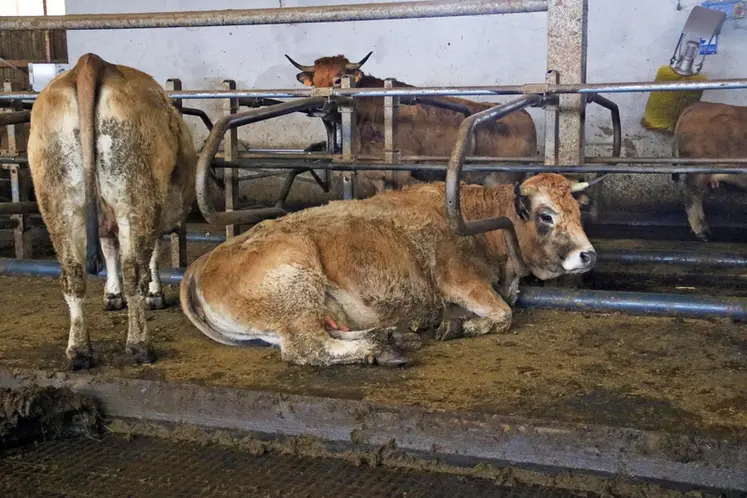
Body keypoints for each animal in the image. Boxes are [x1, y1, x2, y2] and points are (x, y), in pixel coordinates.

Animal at [27, 53, 197, 370]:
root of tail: (92, 62)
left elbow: (109, 250)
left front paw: (111, 294)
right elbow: (150, 255)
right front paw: (155, 295)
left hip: (57, 201)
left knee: (72, 274)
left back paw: (79, 351)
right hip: (136, 195)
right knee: (134, 271)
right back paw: (139, 345)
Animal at [180, 173, 596, 367]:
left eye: (578, 211)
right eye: (546, 216)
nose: (588, 255)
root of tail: (202, 262)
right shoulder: (458, 280)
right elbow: (503, 314)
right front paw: (458, 326)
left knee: (325, 335)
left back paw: (392, 337)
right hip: (294, 287)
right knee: (308, 348)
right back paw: (381, 348)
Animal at [285, 52, 537, 192]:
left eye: (338, 80)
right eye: (314, 81)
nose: (316, 106)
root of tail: (525, 116)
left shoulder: (401, 174)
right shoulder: (376, 175)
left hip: (504, 177)